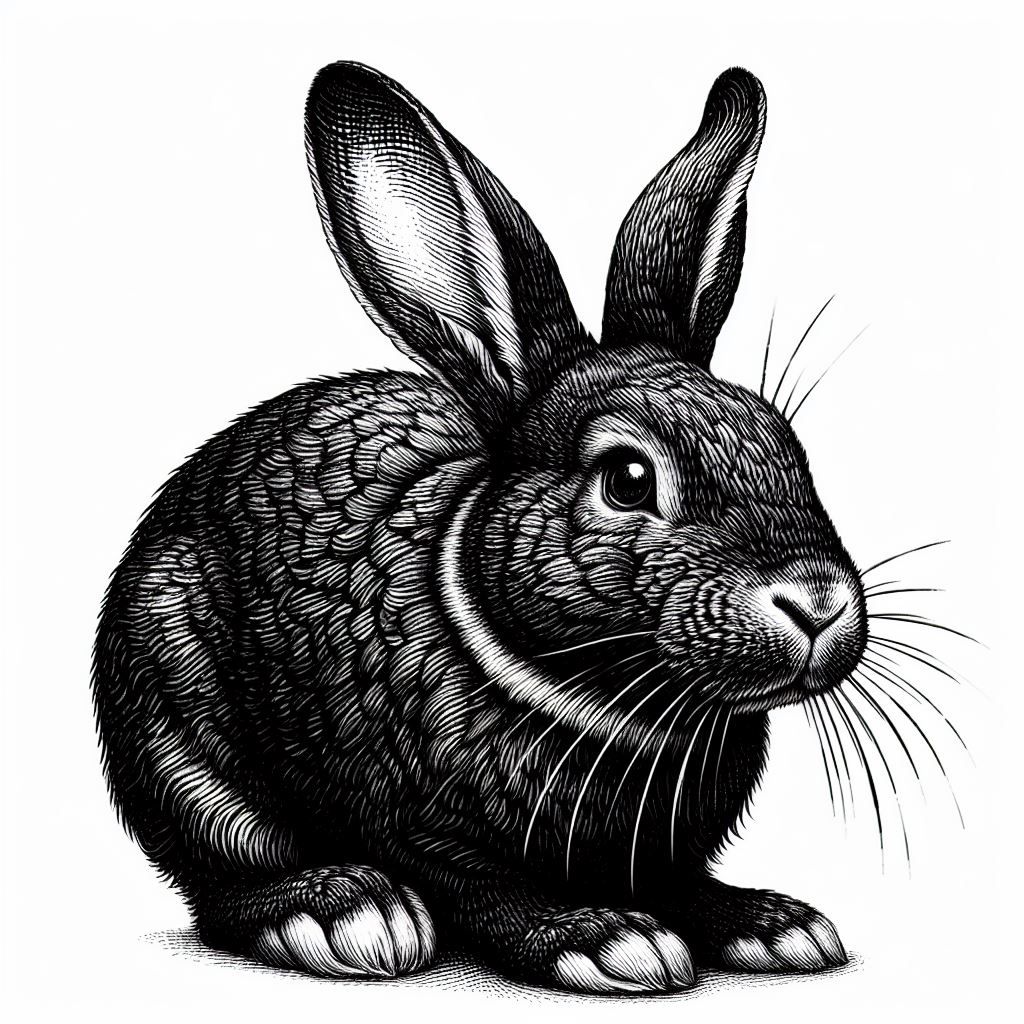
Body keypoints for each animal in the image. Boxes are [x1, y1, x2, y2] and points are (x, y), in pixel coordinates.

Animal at [92, 61, 865, 994]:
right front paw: (606, 938)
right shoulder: (421, 826)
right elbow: (486, 891)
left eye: (786, 444)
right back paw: (340, 909)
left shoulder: (661, 854)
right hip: (171, 714)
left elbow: (682, 883)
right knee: (222, 875)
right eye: (628, 478)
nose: (817, 603)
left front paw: (772, 925)